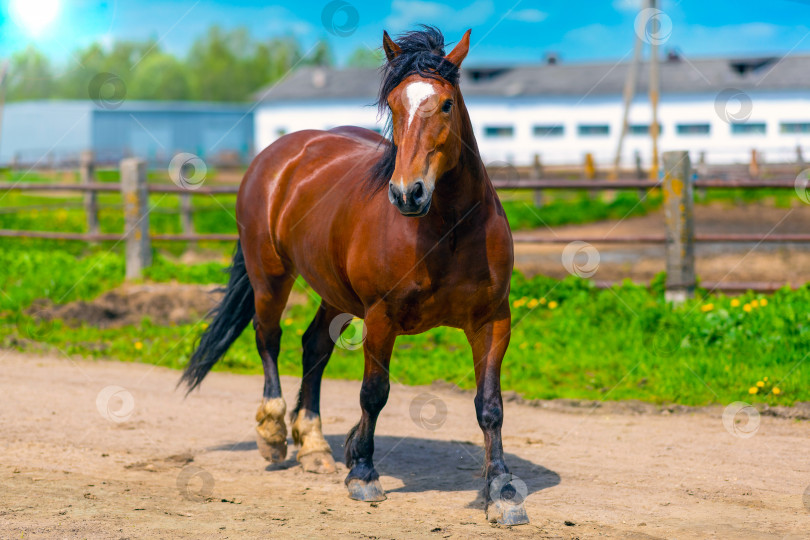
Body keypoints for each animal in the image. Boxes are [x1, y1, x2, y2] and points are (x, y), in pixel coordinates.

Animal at [180, 26, 528, 528]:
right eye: (395, 106)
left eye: (445, 104)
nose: (407, 193)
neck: (448, 230)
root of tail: (280, 154)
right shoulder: (381, 317)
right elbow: (373, 393)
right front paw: (363, 471)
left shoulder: (492, 320)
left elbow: (490, 406)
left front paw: (501, 490)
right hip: (271, 276)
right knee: (269, 338)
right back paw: (273, 431)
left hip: (335, 295)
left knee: (313, 346)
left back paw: (313, 445)